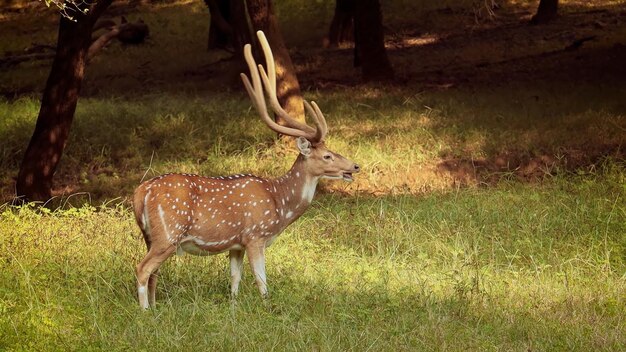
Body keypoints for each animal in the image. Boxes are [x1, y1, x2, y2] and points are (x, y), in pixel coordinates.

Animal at [132, 31, 360, 310]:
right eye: (327, 155)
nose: (355, 166)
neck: (280, 203)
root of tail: (141, 192)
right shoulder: (255, 236)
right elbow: (262, 281)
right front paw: (267, 308)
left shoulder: (236, 245)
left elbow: (235, 279)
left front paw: (233, 308)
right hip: (168, 233)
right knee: (142, 268)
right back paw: (145, 311)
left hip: (151, 236)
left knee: (153, 272)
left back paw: (156, 308)